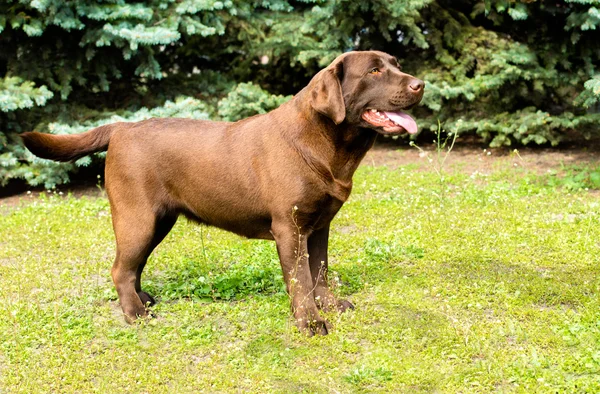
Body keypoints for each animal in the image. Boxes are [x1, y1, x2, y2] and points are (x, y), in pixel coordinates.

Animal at [22, 50, 422, 336]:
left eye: (396, 65)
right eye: (374, 71)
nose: (421, 85)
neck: (325, 144)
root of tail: (120, 127)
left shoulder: (319, 225)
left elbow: (320, 270)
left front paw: (331, 305)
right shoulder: (289, 227)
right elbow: (300, 279)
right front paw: (309, 323)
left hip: (158, 221)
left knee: (133, 266)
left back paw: (143, 300)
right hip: (137, 217)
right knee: (120, 267)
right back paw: (134, 314)